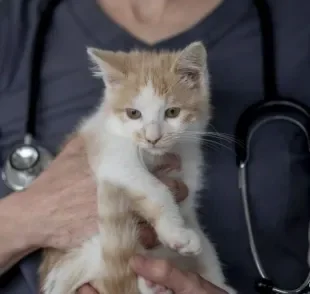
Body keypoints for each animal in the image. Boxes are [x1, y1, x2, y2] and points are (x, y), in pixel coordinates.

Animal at [40, 41, 236, 294]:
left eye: (172, 112)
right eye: (133, 114)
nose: (152, 138)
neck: (156, 155)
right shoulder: (111, 151)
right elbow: (155, 188)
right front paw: (176, 232)